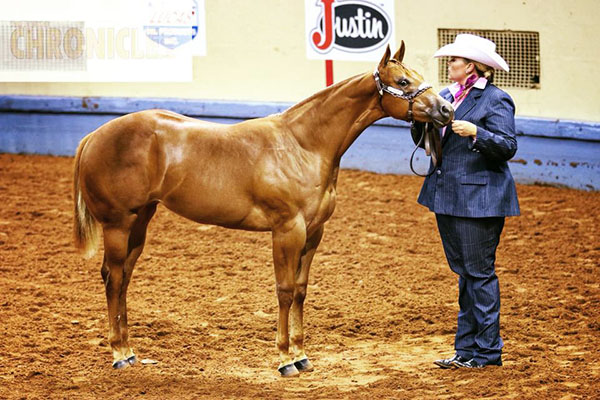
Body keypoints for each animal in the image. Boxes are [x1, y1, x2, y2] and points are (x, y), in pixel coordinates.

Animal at [72, 42, 452, 376]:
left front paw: (301, 355)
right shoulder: (287, 230)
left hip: (140, 221)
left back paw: (130, 351)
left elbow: (300, 290)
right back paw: (119, 354)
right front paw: (285, 359)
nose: (446, 110)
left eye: (417, 75)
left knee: (124, 279)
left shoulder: (313, 233)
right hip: (118, 224)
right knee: (113, 277)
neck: (302, 145)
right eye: (403, 82)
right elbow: (284, 290)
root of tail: (92, 137)